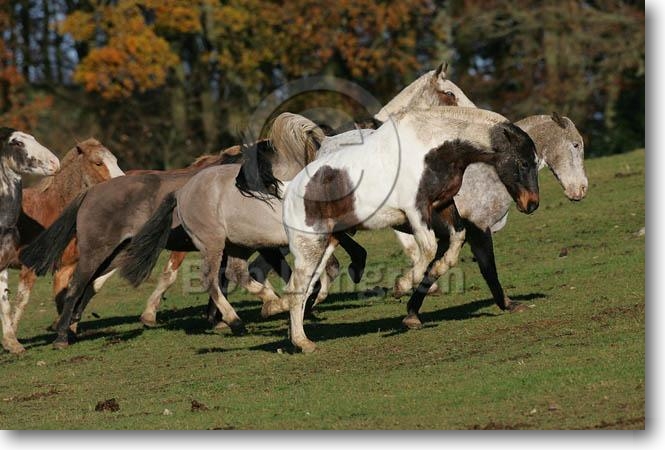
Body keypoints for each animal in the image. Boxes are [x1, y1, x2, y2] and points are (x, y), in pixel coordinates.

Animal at [7, 139, 124, 340]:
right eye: (98, 163)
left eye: (115, 160)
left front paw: (65, 329)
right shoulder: (30, 267)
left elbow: (68, 294)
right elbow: (22, 300)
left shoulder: (66, 266)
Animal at [274, 106, 540, 353]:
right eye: (524, 162)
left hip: (326, 244)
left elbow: (455, 242)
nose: (532, 204)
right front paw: (401, 286)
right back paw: (303, 342)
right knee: (296, 289)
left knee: (308, 287)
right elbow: (430, 248)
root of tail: (288, 188)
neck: (431, 147)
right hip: (309, 246)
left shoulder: (443, 204)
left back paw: (297, 336)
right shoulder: (416, 210)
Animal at [394, 113, 588, 328]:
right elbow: (489, 269)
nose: (581, 189)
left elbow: (433, 270)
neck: (486, 174)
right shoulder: (478, 229)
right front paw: (509, 304)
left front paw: (412, 312)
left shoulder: (450, 235)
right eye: (575, 145)